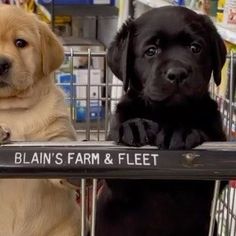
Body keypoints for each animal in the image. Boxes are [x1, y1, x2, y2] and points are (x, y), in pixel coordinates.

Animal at [95, 6, 227, 236]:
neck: (166, 114)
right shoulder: (116, 177)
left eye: (195, 48)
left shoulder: (214, 178)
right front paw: (135, 126)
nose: (178, 73)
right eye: (151, 51)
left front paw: (180, 131)